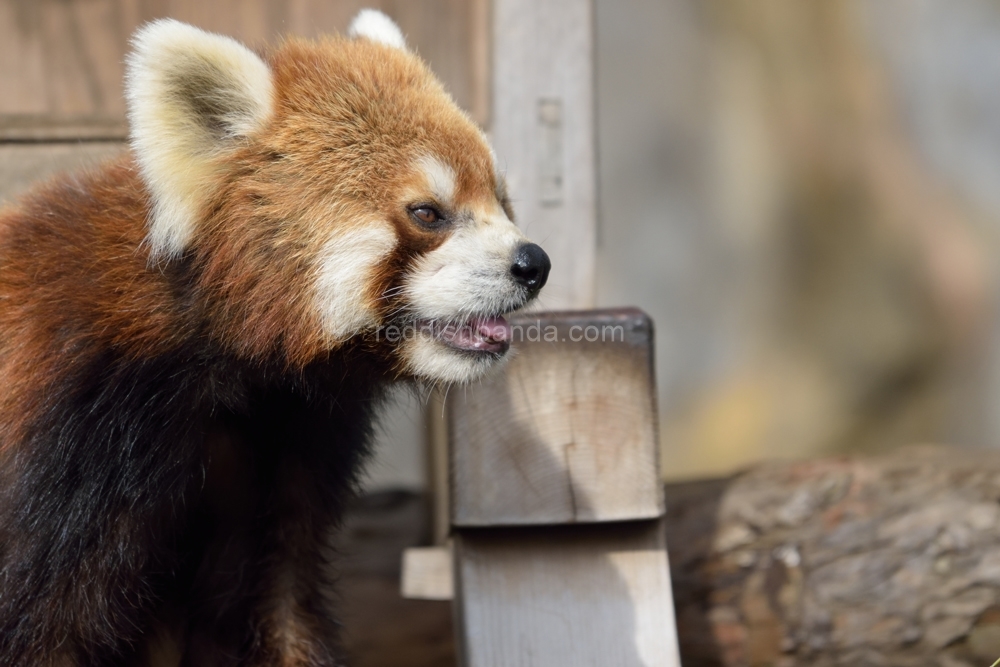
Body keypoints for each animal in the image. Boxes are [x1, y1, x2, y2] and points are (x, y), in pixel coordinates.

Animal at [0, 11, 552, 667]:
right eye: (427, 213)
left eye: (502, 199)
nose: (533, 264)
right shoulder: (73, 437)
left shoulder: (291, 441)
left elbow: (279, 602)